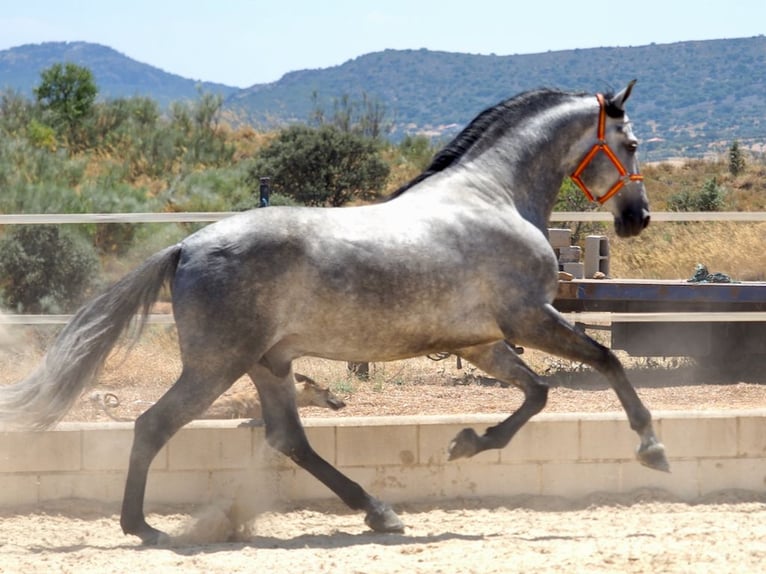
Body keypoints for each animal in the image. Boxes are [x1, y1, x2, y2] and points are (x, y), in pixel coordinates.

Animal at [0, 80, 664, 544]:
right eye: (630, 145)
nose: (638, 218)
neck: (492, 197)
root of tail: (186, 246)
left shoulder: (483, 343)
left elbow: (538, 394)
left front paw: (467, 443)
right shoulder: (528, 319)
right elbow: (605, 361)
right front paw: (651, 448)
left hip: (268, 364)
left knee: (287, 439)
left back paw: (379, 513)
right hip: (217, 366)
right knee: (152, 425)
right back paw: (144, 528)